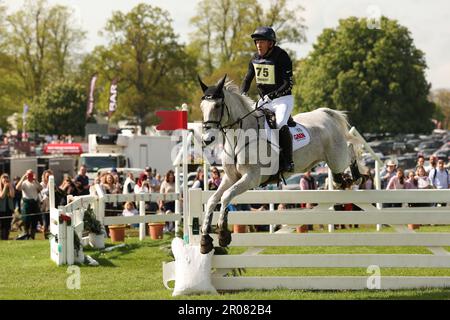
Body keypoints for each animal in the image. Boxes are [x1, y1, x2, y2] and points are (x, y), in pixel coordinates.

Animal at [199, 75, 364, 255]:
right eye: (202, 107)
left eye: (217, 105)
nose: (207, 139)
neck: (238, 138)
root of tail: (325, 114)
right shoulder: (230, 178)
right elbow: (212, 200)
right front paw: (205, 239)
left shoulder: (251, 178)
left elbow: (226, 196)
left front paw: (223, 233)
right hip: (332, 159)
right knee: (341, 167)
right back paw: (340, 181)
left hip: (337, 157)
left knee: (351, 150)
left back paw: (356, 177)